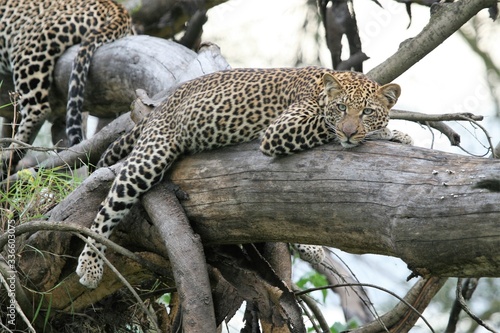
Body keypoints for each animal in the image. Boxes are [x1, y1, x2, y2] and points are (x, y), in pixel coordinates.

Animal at [73, 65, 410, 288]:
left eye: (367, 111)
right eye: (341, 108)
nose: (350, 132)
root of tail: (159, 108)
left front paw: (394, 133)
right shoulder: (283, 129)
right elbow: (326, 127)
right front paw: (385, 132)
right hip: (151, 156)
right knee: (107, 210)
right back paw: (90, 264)